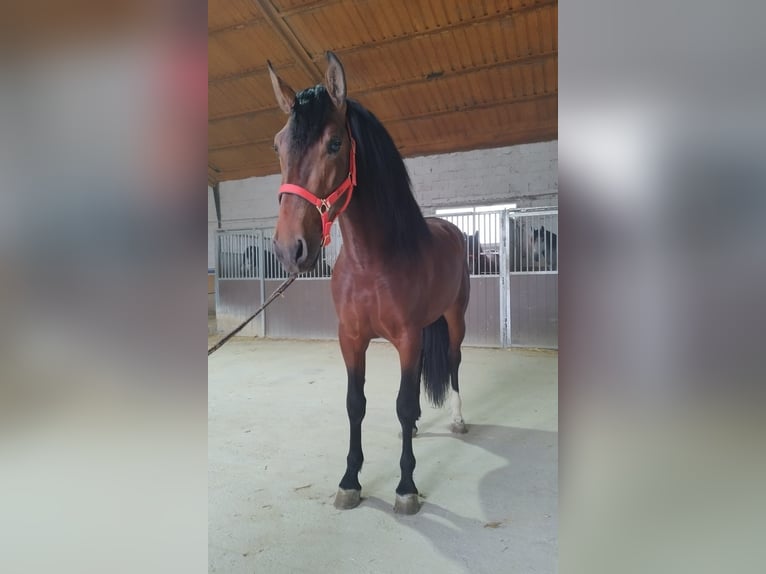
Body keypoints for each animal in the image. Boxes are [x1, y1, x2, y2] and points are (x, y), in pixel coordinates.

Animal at [270, 51, 474, 516]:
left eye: (334, 143)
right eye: (277, 144)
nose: (291, 248)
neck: (371, 264)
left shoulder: (408, 337)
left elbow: (401, 403)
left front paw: (406, 487)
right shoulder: (351, 338)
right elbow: (356, 404)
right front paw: (349, 480)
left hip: (454, 317)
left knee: (453, 361)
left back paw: (457, 419)